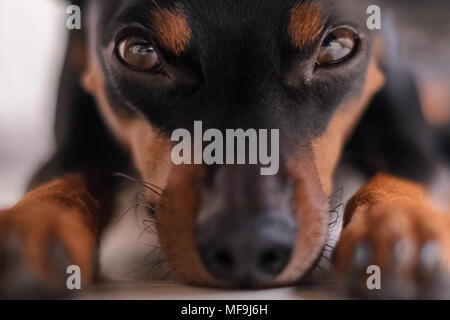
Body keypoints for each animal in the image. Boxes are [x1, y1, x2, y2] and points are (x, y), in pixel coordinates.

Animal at [0, 0, 450, 300]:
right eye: (139, 52)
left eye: (336, 47)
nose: (247, 245)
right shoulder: (76, 130)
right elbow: (60, 175)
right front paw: (33, 224)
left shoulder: (406, 128)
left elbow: (412, 169)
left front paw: (402, 225)